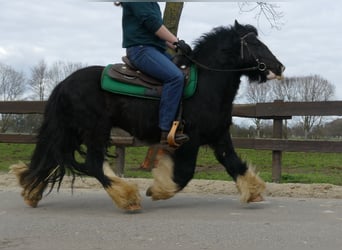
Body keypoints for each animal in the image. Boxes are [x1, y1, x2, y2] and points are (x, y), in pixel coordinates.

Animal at [11, 21, 284, 211]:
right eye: (256, 44)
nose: (279, 67)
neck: (207, 84)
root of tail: (64, 84)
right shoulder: (191, 139)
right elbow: (184, 173)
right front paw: (159, 188)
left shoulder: (219, 136)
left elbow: (234, 164)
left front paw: (253, 192)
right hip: (95, 131)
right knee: (92, 164)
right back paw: (127, 197)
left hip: (73, 132)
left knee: (51, 159)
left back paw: (31, 192)